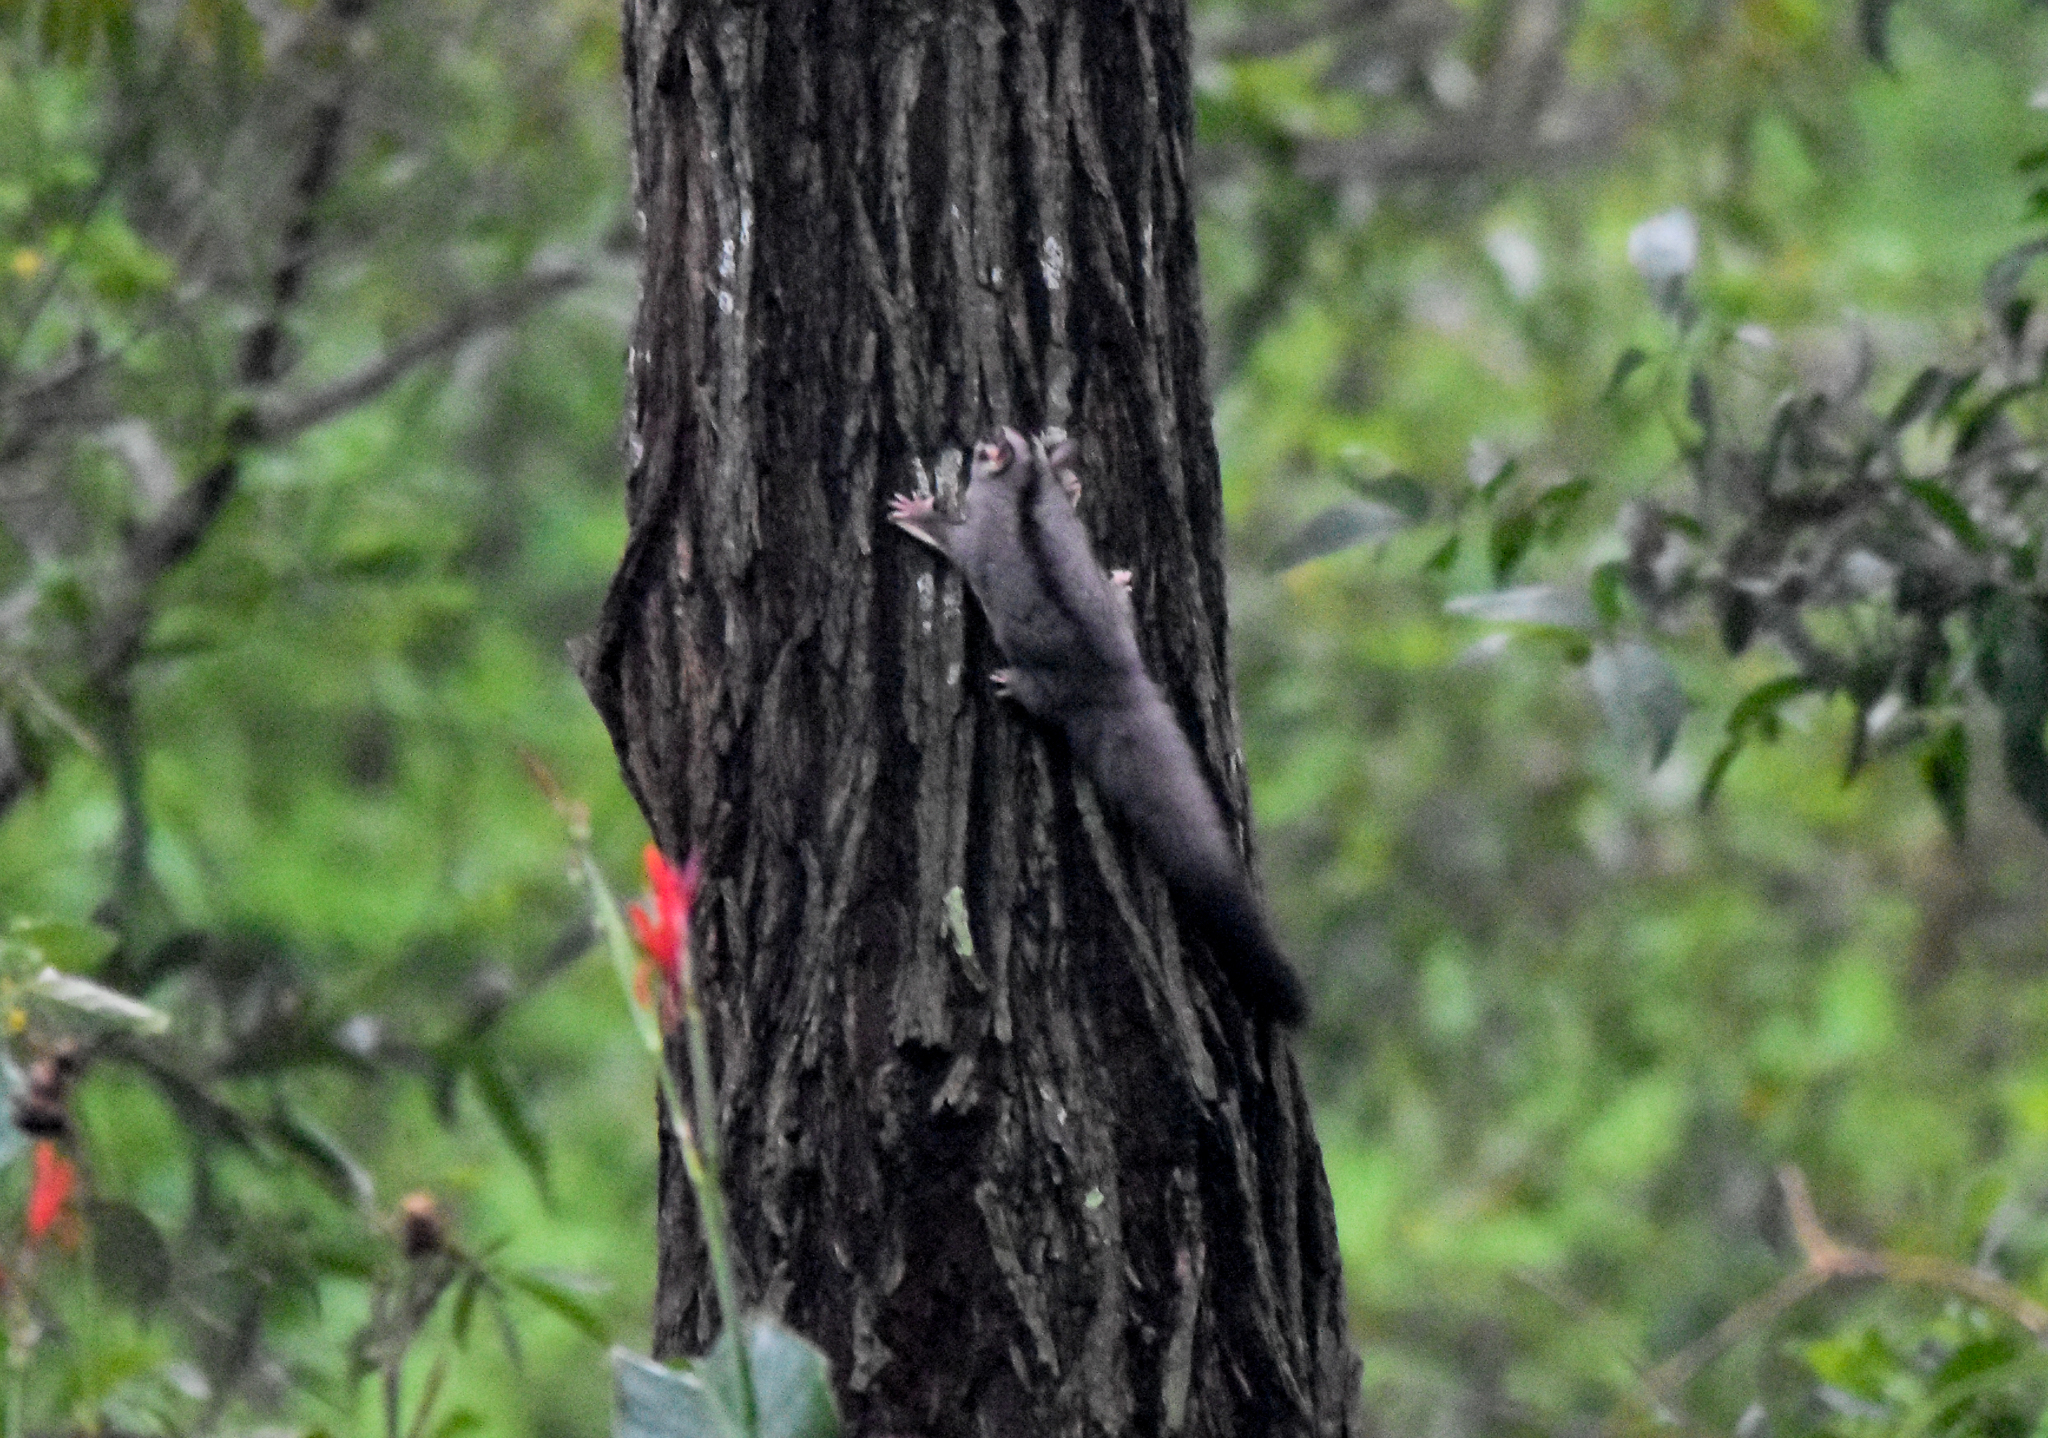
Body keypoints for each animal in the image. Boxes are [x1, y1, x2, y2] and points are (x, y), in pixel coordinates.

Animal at [889, 427, 1309, 1027]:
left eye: (991, 443)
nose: (977, 438)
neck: (1025, 489)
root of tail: (1116, 680)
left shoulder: (978, 537)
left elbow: (953, 540)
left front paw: (918, 512)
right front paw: (1070, 478)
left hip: (1050, 690)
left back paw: (1016, 685)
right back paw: (1119, 586)